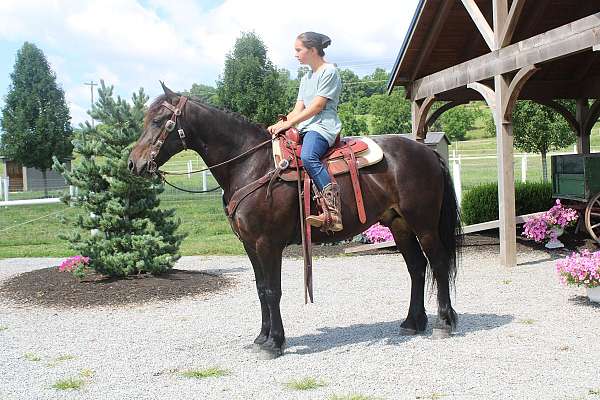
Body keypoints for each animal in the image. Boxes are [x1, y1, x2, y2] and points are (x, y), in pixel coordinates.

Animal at [129, 84, 462, 360]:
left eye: (159, 120)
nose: (134, 163)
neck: (251, 165)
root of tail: (427, 152)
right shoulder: (250, 245)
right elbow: (261, 289)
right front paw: (262, 338)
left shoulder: (268, 243)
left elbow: (272, 291)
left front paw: (274, 342)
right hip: (399, 225)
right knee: (417, 268)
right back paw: (412, 322)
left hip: (424, 224)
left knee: (438, 263)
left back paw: (444, 322)